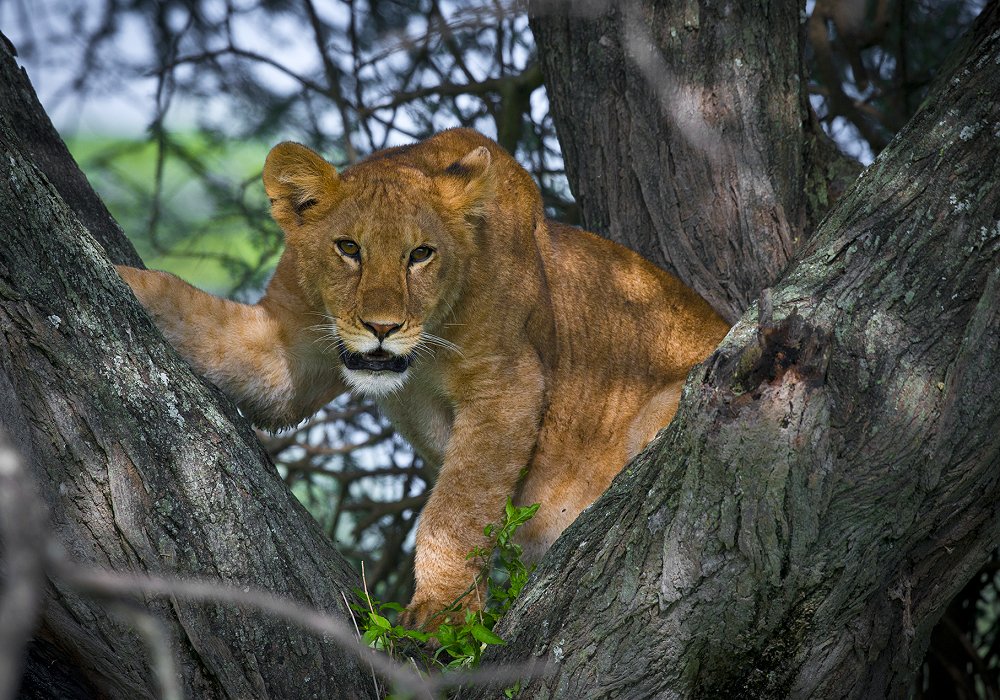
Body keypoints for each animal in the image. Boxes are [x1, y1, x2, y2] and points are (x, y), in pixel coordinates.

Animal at [117, 129, 732, 628]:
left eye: (421, 254)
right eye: (348, 248)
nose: (381, 328)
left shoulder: (509, 381)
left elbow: (456, 508)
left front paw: (444, 611)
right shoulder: (288, 349)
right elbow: (191, 311)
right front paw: (114, 276)